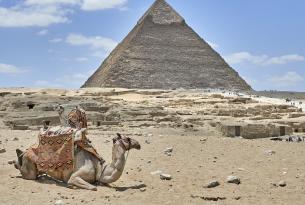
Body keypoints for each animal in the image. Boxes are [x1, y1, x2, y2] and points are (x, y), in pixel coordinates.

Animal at [11, 131, 140, 191]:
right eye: (127, 138)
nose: (138, 144)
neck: (100, 168)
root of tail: (27, 150)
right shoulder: (75, 176)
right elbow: (93, 187)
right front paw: (69, 185)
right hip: (29, 165)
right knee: (28, 174)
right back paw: (14, 162)